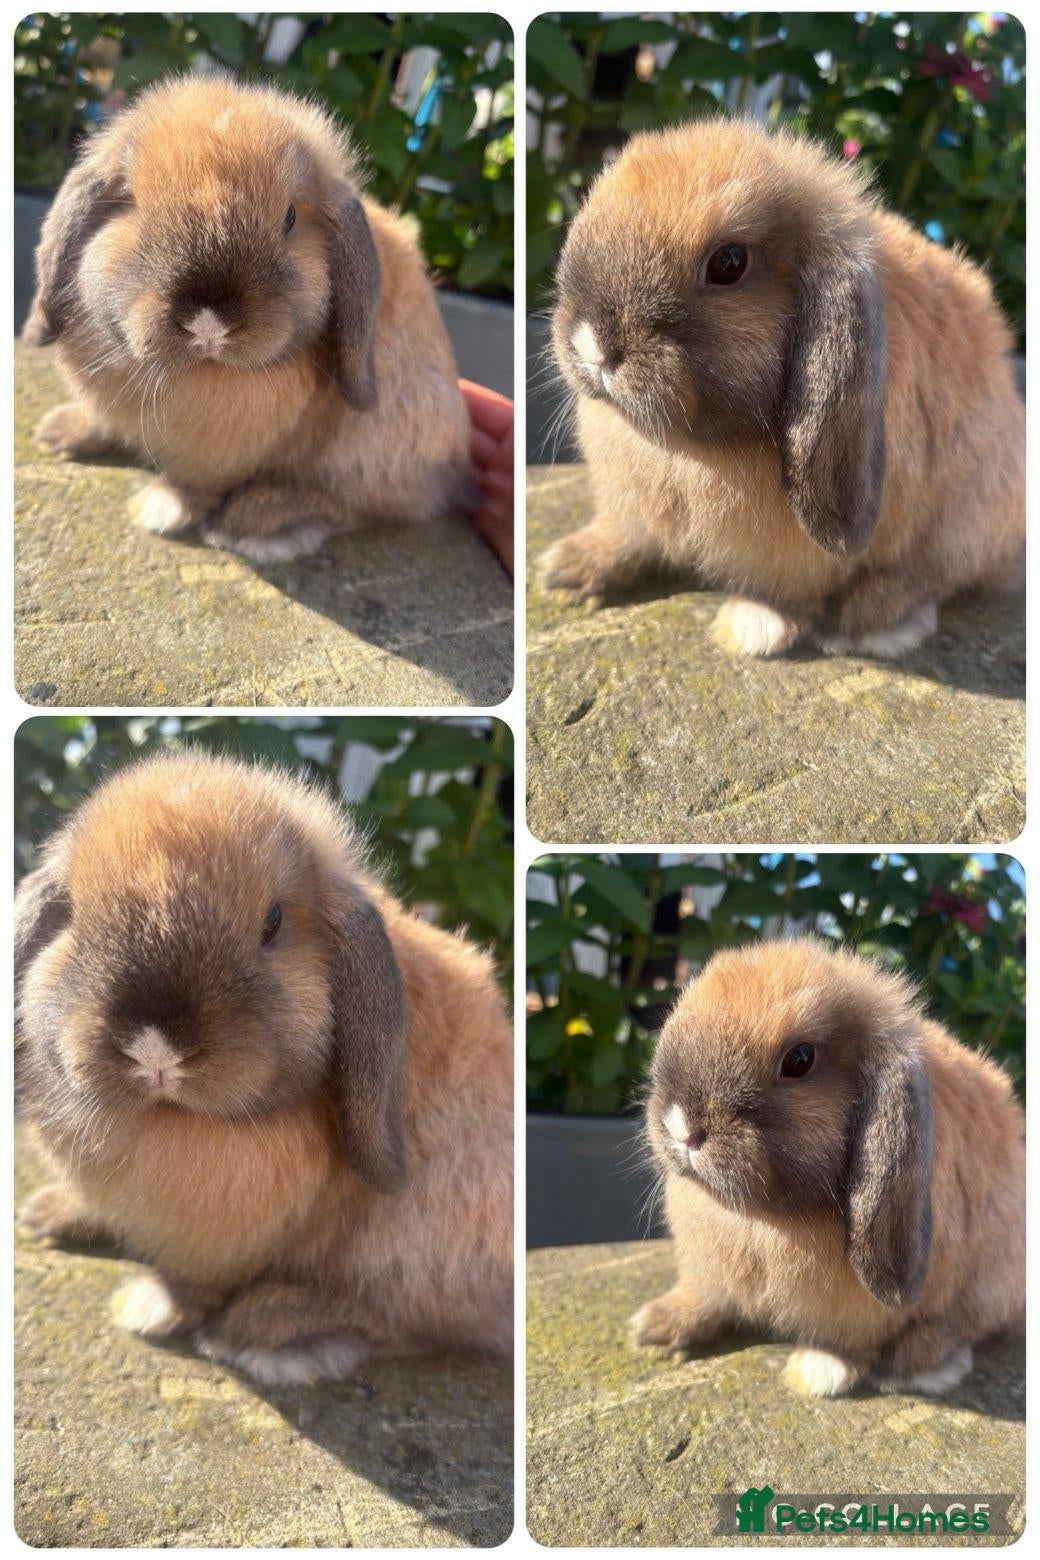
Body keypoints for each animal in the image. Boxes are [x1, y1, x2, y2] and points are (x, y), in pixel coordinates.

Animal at [14, 751, 513, 1386]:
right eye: (75, 917)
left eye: (272, 923)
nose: (156, 1051)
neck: (170, 1118)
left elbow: (195, 1282)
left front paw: (155, 1304)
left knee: (407, 1321)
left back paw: (267, 1325)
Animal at [23, 74, 473, 563]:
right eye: (131, 203)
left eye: (290, 217)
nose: (208, 322)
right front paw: (64, 432)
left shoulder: (215, 454)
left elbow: (195, 482)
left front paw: (163, 507)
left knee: (356, 505)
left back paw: (254, 520)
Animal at [542, 119, 1025, 658]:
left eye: (729, 263)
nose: (593, 344)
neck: (686, 448)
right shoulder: (631, 508)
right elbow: (628, 537)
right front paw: (570, 571)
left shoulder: (806, 559)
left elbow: (793, 590)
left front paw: (753, 625)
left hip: (968, 519)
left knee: (932, 577)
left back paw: (869, 619)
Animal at [632, 937, 1024, 1397]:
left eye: (799, 1059)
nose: (681, 1127)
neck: (760, 1217)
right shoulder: (709, 1272)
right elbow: (707, 1297)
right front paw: (657, 1328)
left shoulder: (860, 1312)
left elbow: (847, 1339)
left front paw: (819, 1370)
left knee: (961, 1327)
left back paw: (914, 1364)